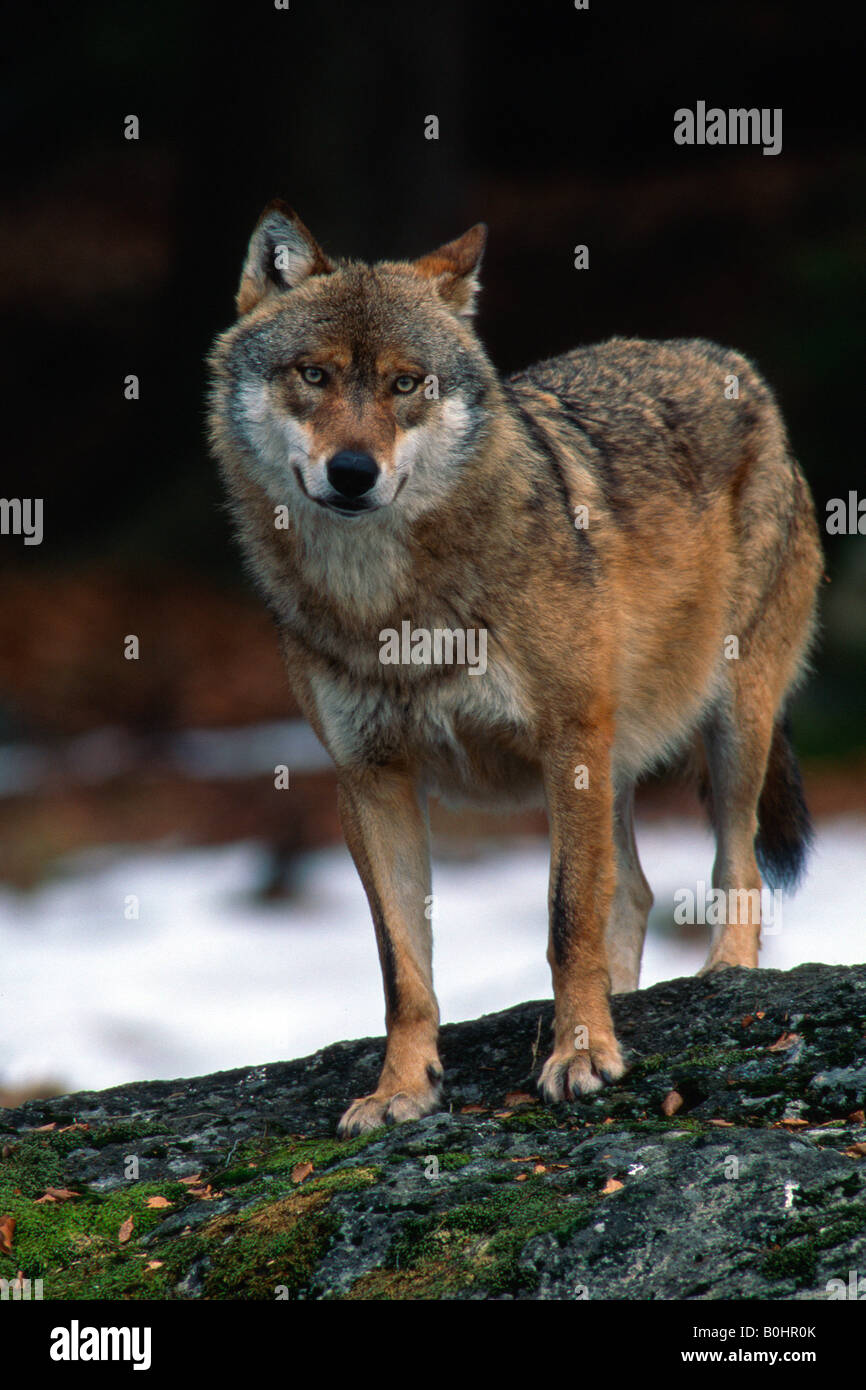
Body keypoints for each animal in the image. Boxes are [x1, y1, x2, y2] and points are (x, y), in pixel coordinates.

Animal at [207, 205, 822, 1139]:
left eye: (406, 384)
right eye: (313, 375)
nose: (352, 472)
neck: (389, 604)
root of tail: (731, 365)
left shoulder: (567, 743)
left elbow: (566, 922)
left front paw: (581, 1055)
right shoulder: (369, 778)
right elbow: (403, 969)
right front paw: (401, 1088)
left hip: (729, 730)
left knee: (735, 870)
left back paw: (724, 974)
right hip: (620, 762)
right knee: (635, 892)